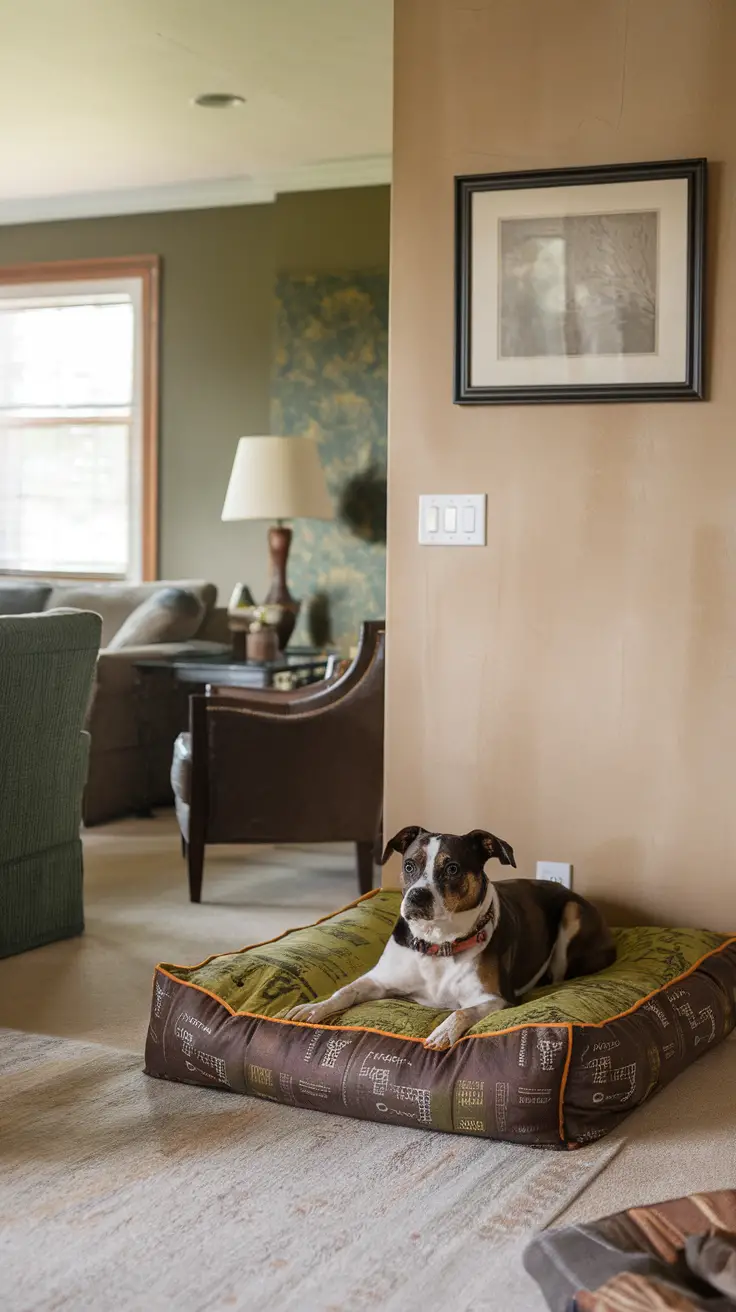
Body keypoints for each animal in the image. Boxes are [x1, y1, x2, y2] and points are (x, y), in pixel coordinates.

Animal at [284, 829, 616, 1044]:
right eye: (409, 865)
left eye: (453, 869)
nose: (416, 897)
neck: (437, 943)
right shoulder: (378, 981)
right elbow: (344, 992)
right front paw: (312, 1008)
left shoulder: (495, 999)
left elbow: (461, 1012)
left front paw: (443, 1031)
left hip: (572, 913)